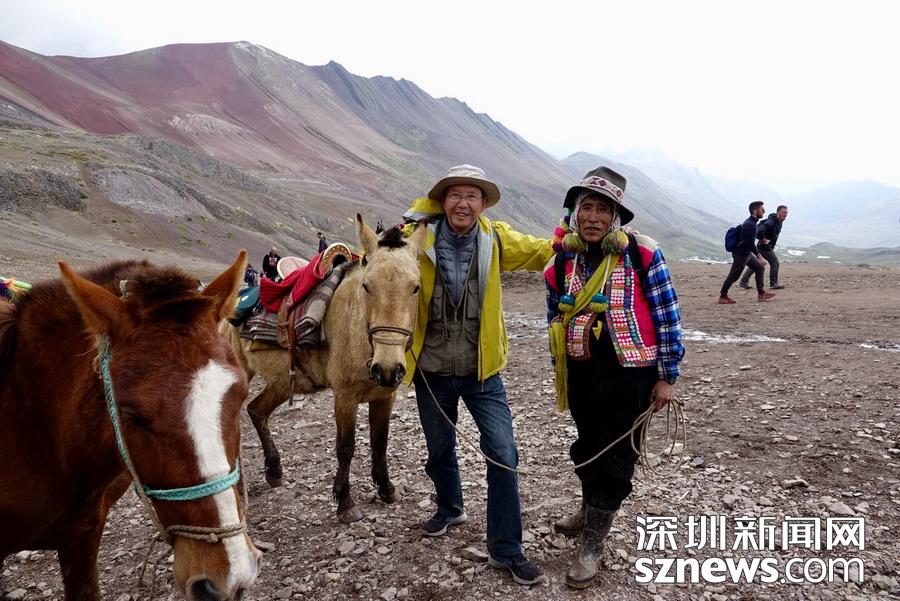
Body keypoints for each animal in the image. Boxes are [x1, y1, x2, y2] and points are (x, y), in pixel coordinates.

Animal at [221, 215, 426, 523]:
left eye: (415, 287)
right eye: (367, 286)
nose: (388, 368)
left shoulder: (384, 396)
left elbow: (380, 442)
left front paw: (387, 488)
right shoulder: (345, 397)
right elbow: (346, 447)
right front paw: (345, 502)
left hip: (282, 382)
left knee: (256, 410)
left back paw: (274, 471)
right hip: (241, 373)